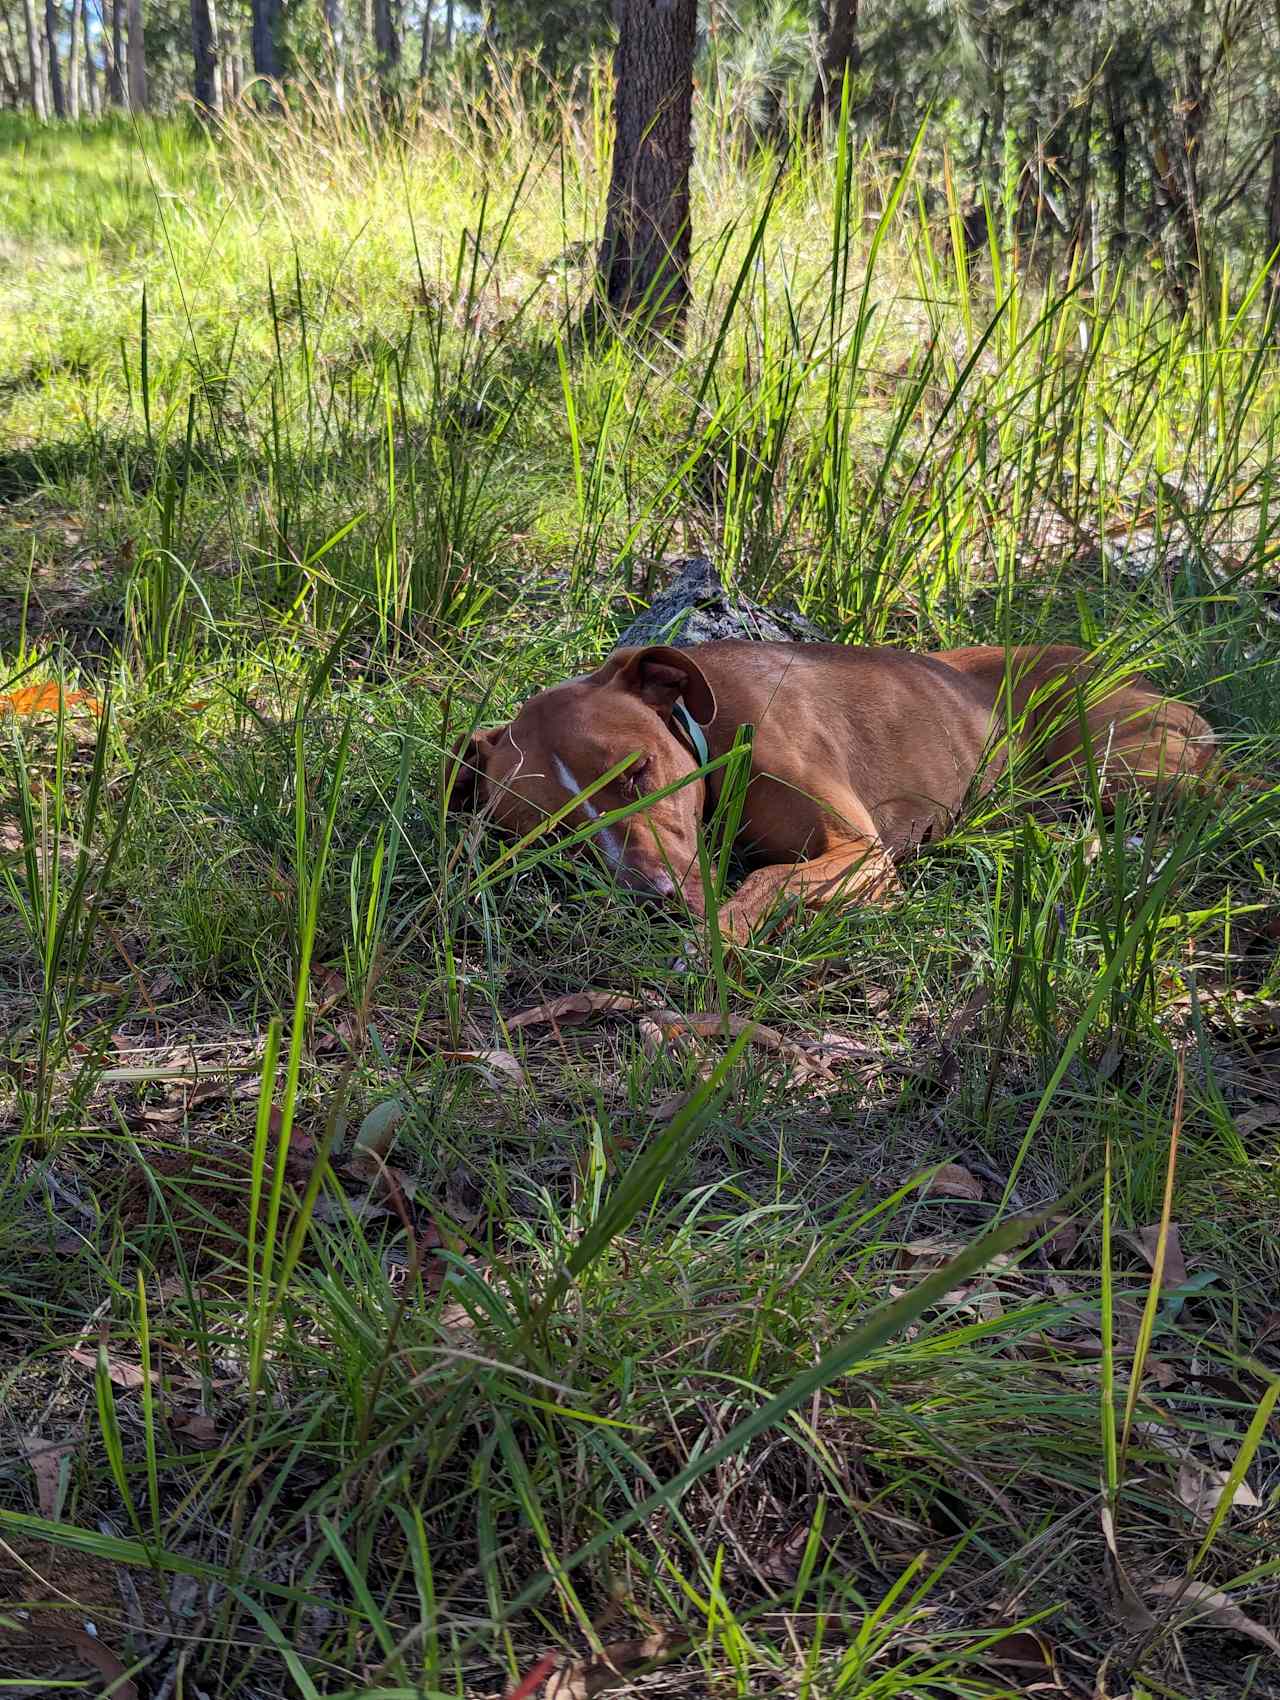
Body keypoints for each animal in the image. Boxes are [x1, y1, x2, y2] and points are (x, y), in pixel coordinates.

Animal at [445, 639, 1210, 945]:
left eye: (637, 771)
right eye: (555, 838)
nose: (653, 901)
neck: (713, 737)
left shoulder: (861, 852)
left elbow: (771, 878)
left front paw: (723, 932)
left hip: (1125, 764)